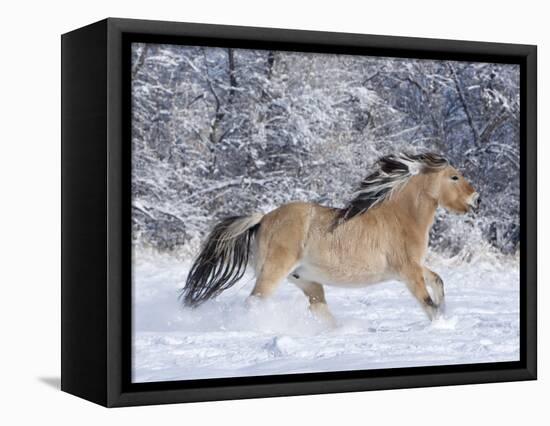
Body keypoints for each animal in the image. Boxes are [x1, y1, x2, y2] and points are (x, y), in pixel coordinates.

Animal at [181, 151, 478, 324]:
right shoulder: (408, 271)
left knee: (319, 309)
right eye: (454, 177)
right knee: (254, 302)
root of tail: (263, 219)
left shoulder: (413, 267)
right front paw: (442, 324)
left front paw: (445, 310)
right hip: (274, 273)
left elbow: (438, 280)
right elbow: (428, 304)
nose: (476, 198)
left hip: (308, 281)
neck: (399, 218)